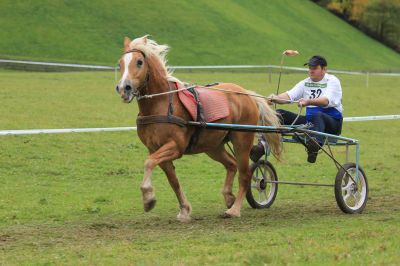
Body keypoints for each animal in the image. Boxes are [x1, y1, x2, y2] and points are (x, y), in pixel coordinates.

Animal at [114, 35, 280, 222]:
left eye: (139, 62)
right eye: (120, 63)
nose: (124, 88)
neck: (162, 103)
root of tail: (246, 94)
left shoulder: (175, 147)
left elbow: (148, 163)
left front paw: (148, 198)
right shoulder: (155, 149)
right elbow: (173, 180)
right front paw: (184, 209)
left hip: (241, 141)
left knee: (245, 175)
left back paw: (235, 209)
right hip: (213, 146)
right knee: (231, 164)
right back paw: (228, 197)